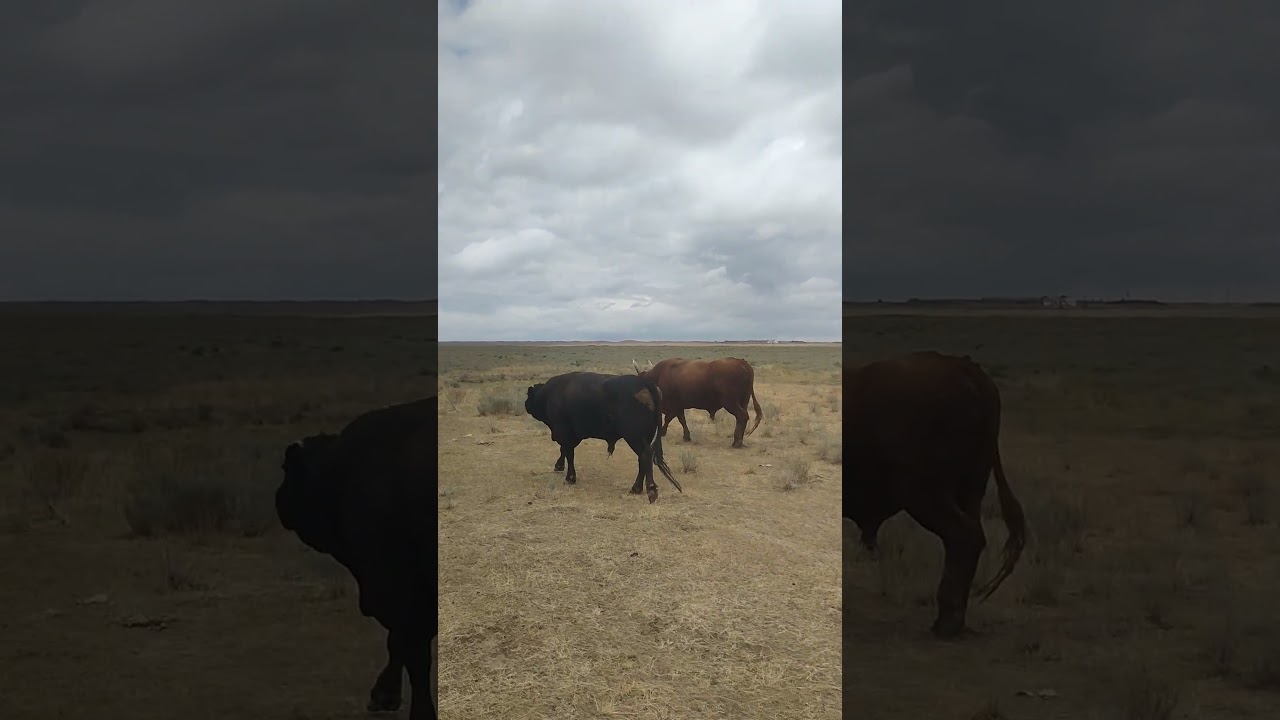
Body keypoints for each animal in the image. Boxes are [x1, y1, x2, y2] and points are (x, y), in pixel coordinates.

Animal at [524, 372, 683, 502]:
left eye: (529, 396)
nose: (526, 404)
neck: (549, 393)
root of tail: (645, 383)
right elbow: (565, 450)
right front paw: (559, 466)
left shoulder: (564, 432)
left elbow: (568, 452)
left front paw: (570, 478)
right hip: (644, 438)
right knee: (643, 459)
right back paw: (637, 489)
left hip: (634, 437)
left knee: (645, 456)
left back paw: (647, 489)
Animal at [632, 357, 763, 448]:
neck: (659, 377)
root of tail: (741, 362)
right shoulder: (679, 406)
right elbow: (682, 420)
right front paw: (686, 436)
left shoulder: (673, 406)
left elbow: (669, 419)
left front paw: (662, 432)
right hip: (743, 402)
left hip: (731, 403)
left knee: (742, 416)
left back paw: (736, 442)